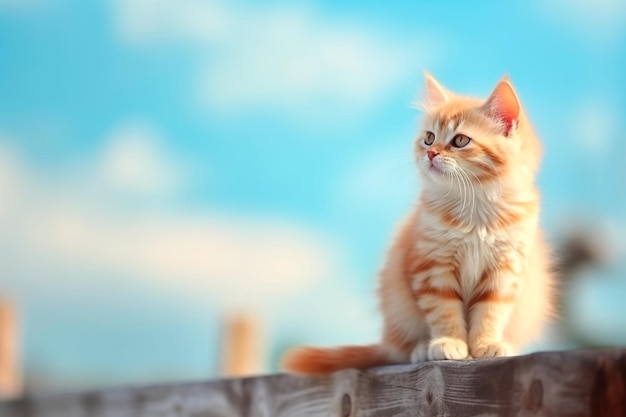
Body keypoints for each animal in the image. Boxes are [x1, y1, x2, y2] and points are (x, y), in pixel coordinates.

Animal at [280, 72, 552, 374]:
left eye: (460, 141)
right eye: (429, 138)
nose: (431, 154)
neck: (475, 207)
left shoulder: (505, 270)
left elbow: (491, 311)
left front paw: (486, 343)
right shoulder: (431, 266)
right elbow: (444, 310)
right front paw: (449, 342)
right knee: (401, 348)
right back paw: (421, 349)